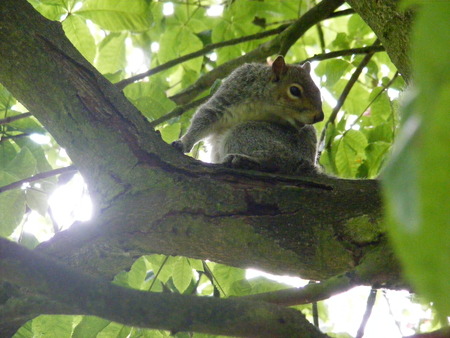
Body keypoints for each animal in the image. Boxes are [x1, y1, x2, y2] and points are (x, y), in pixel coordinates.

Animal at [172, 55, 324, 174]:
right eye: (294, 90)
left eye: (317, 89)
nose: (320, 117)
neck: (265, 106)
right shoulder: (230, 95)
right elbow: (205, 117)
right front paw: (184, 142)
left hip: (248, 135)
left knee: (279, 161)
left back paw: (245, 160)